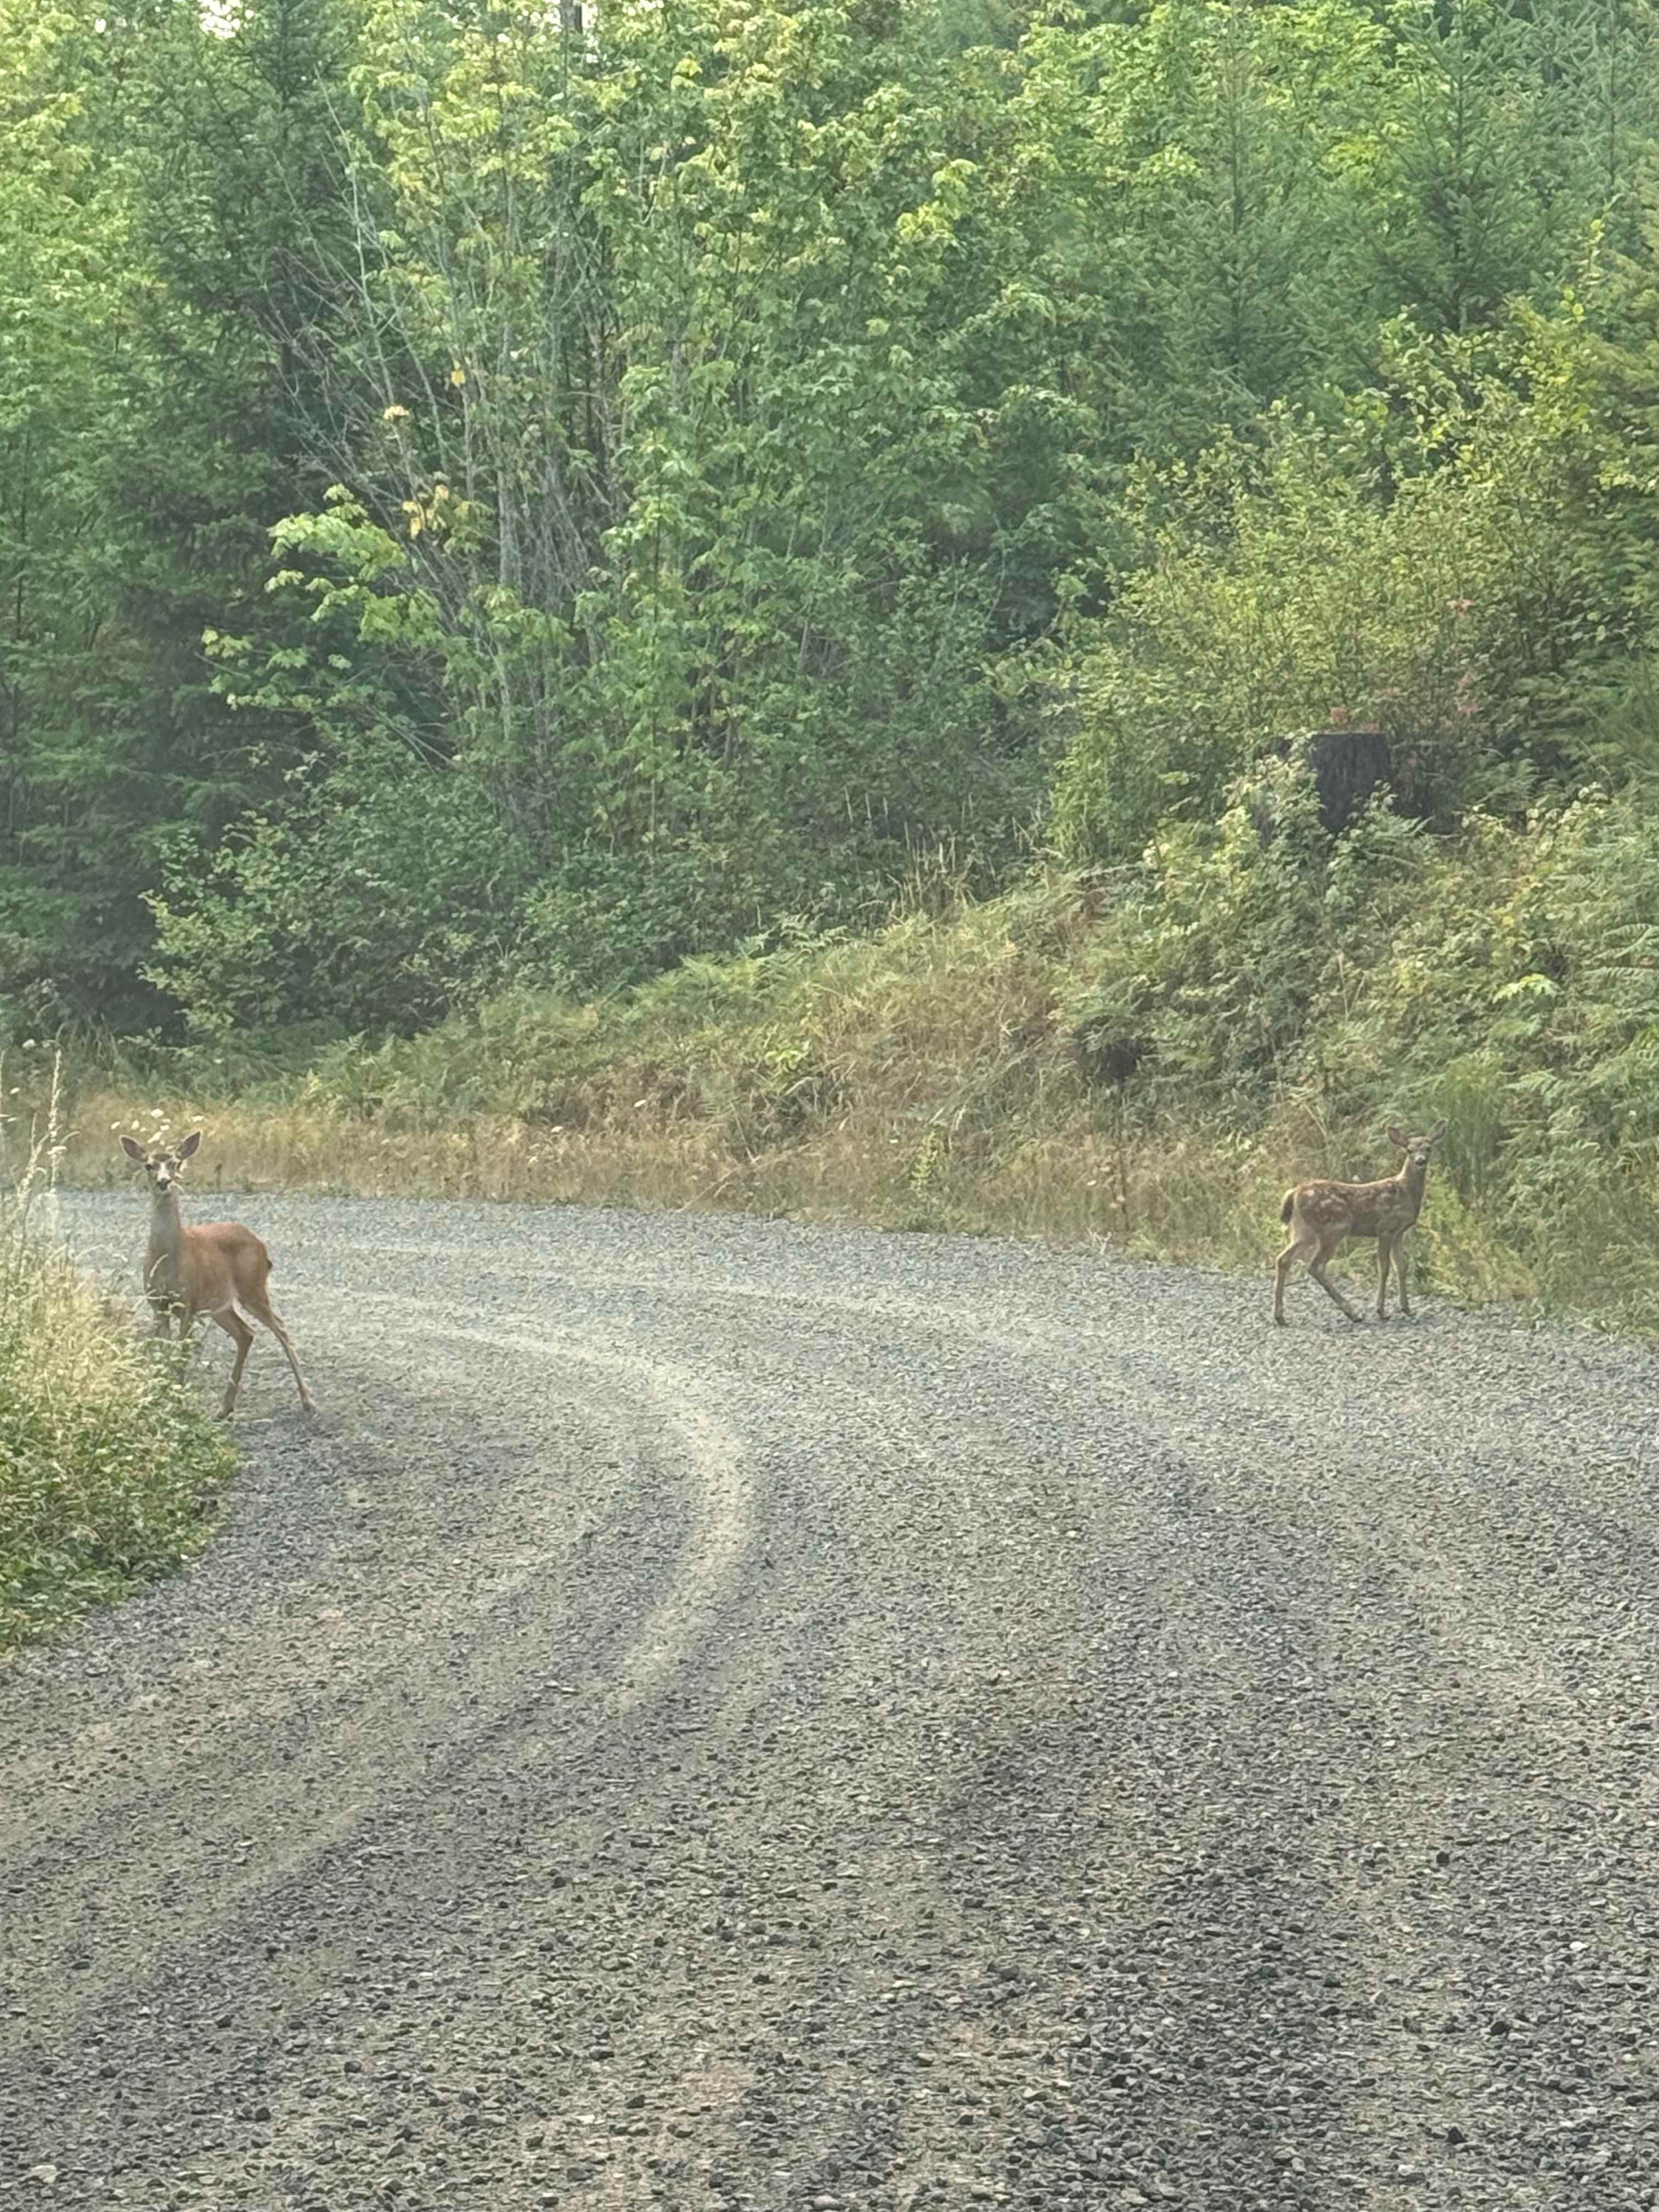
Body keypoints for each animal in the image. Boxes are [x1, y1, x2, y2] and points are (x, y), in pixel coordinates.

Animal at [121, 1130, 314, 1419]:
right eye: (149, 1165)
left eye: (176, 1163)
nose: (165, 1182)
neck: (167, 1260)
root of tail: (260, 1244)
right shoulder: (158, 1303)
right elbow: (165, 1350)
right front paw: (164, 1395)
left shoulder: (188, 1302)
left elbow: (181, 1352)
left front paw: (177, 1398)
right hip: (220, 1305)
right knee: (246, 1333)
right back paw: (225, 1408)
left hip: (252, 1288)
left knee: (279, 1327)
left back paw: (307, 1399)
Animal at [1273, 1121, 1447, 1326]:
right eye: (1409, 1150)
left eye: (1429, 1148)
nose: (1420, 1161)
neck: (1406, 1192)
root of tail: (1294, 1193)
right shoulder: (1385, 1228)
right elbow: (1385, 1268)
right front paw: (1381, 1311)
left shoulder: (1399, 1232)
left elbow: (1402, 1266)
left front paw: (1407, 1308)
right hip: (1335, 1228)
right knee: (1316, 1266)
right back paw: (1353, 1313)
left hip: (1303, 1231)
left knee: (1284, 1258)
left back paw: (1280, 1317)